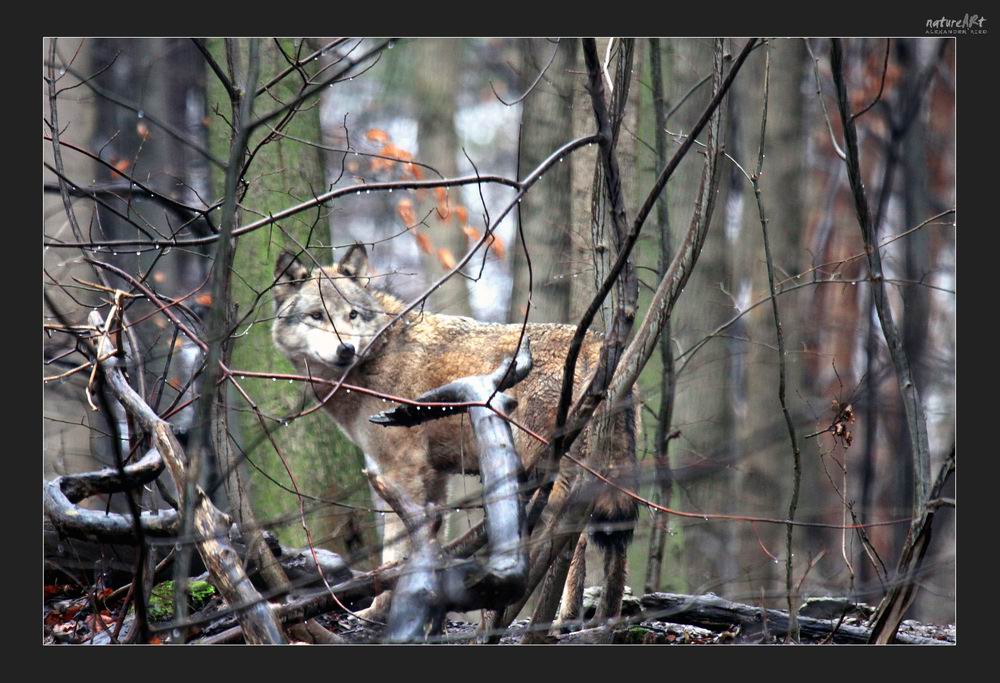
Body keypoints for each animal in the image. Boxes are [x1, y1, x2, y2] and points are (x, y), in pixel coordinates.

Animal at [270, 244, 636, 624]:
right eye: (316, 315)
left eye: (352, 315)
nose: (346, 349)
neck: (378, 355)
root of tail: (596, 341)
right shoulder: (435, 478)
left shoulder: (403, 471)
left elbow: (395, 550)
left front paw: (378, 611)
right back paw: (603, 614)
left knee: (570, 537)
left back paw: (553, 615)